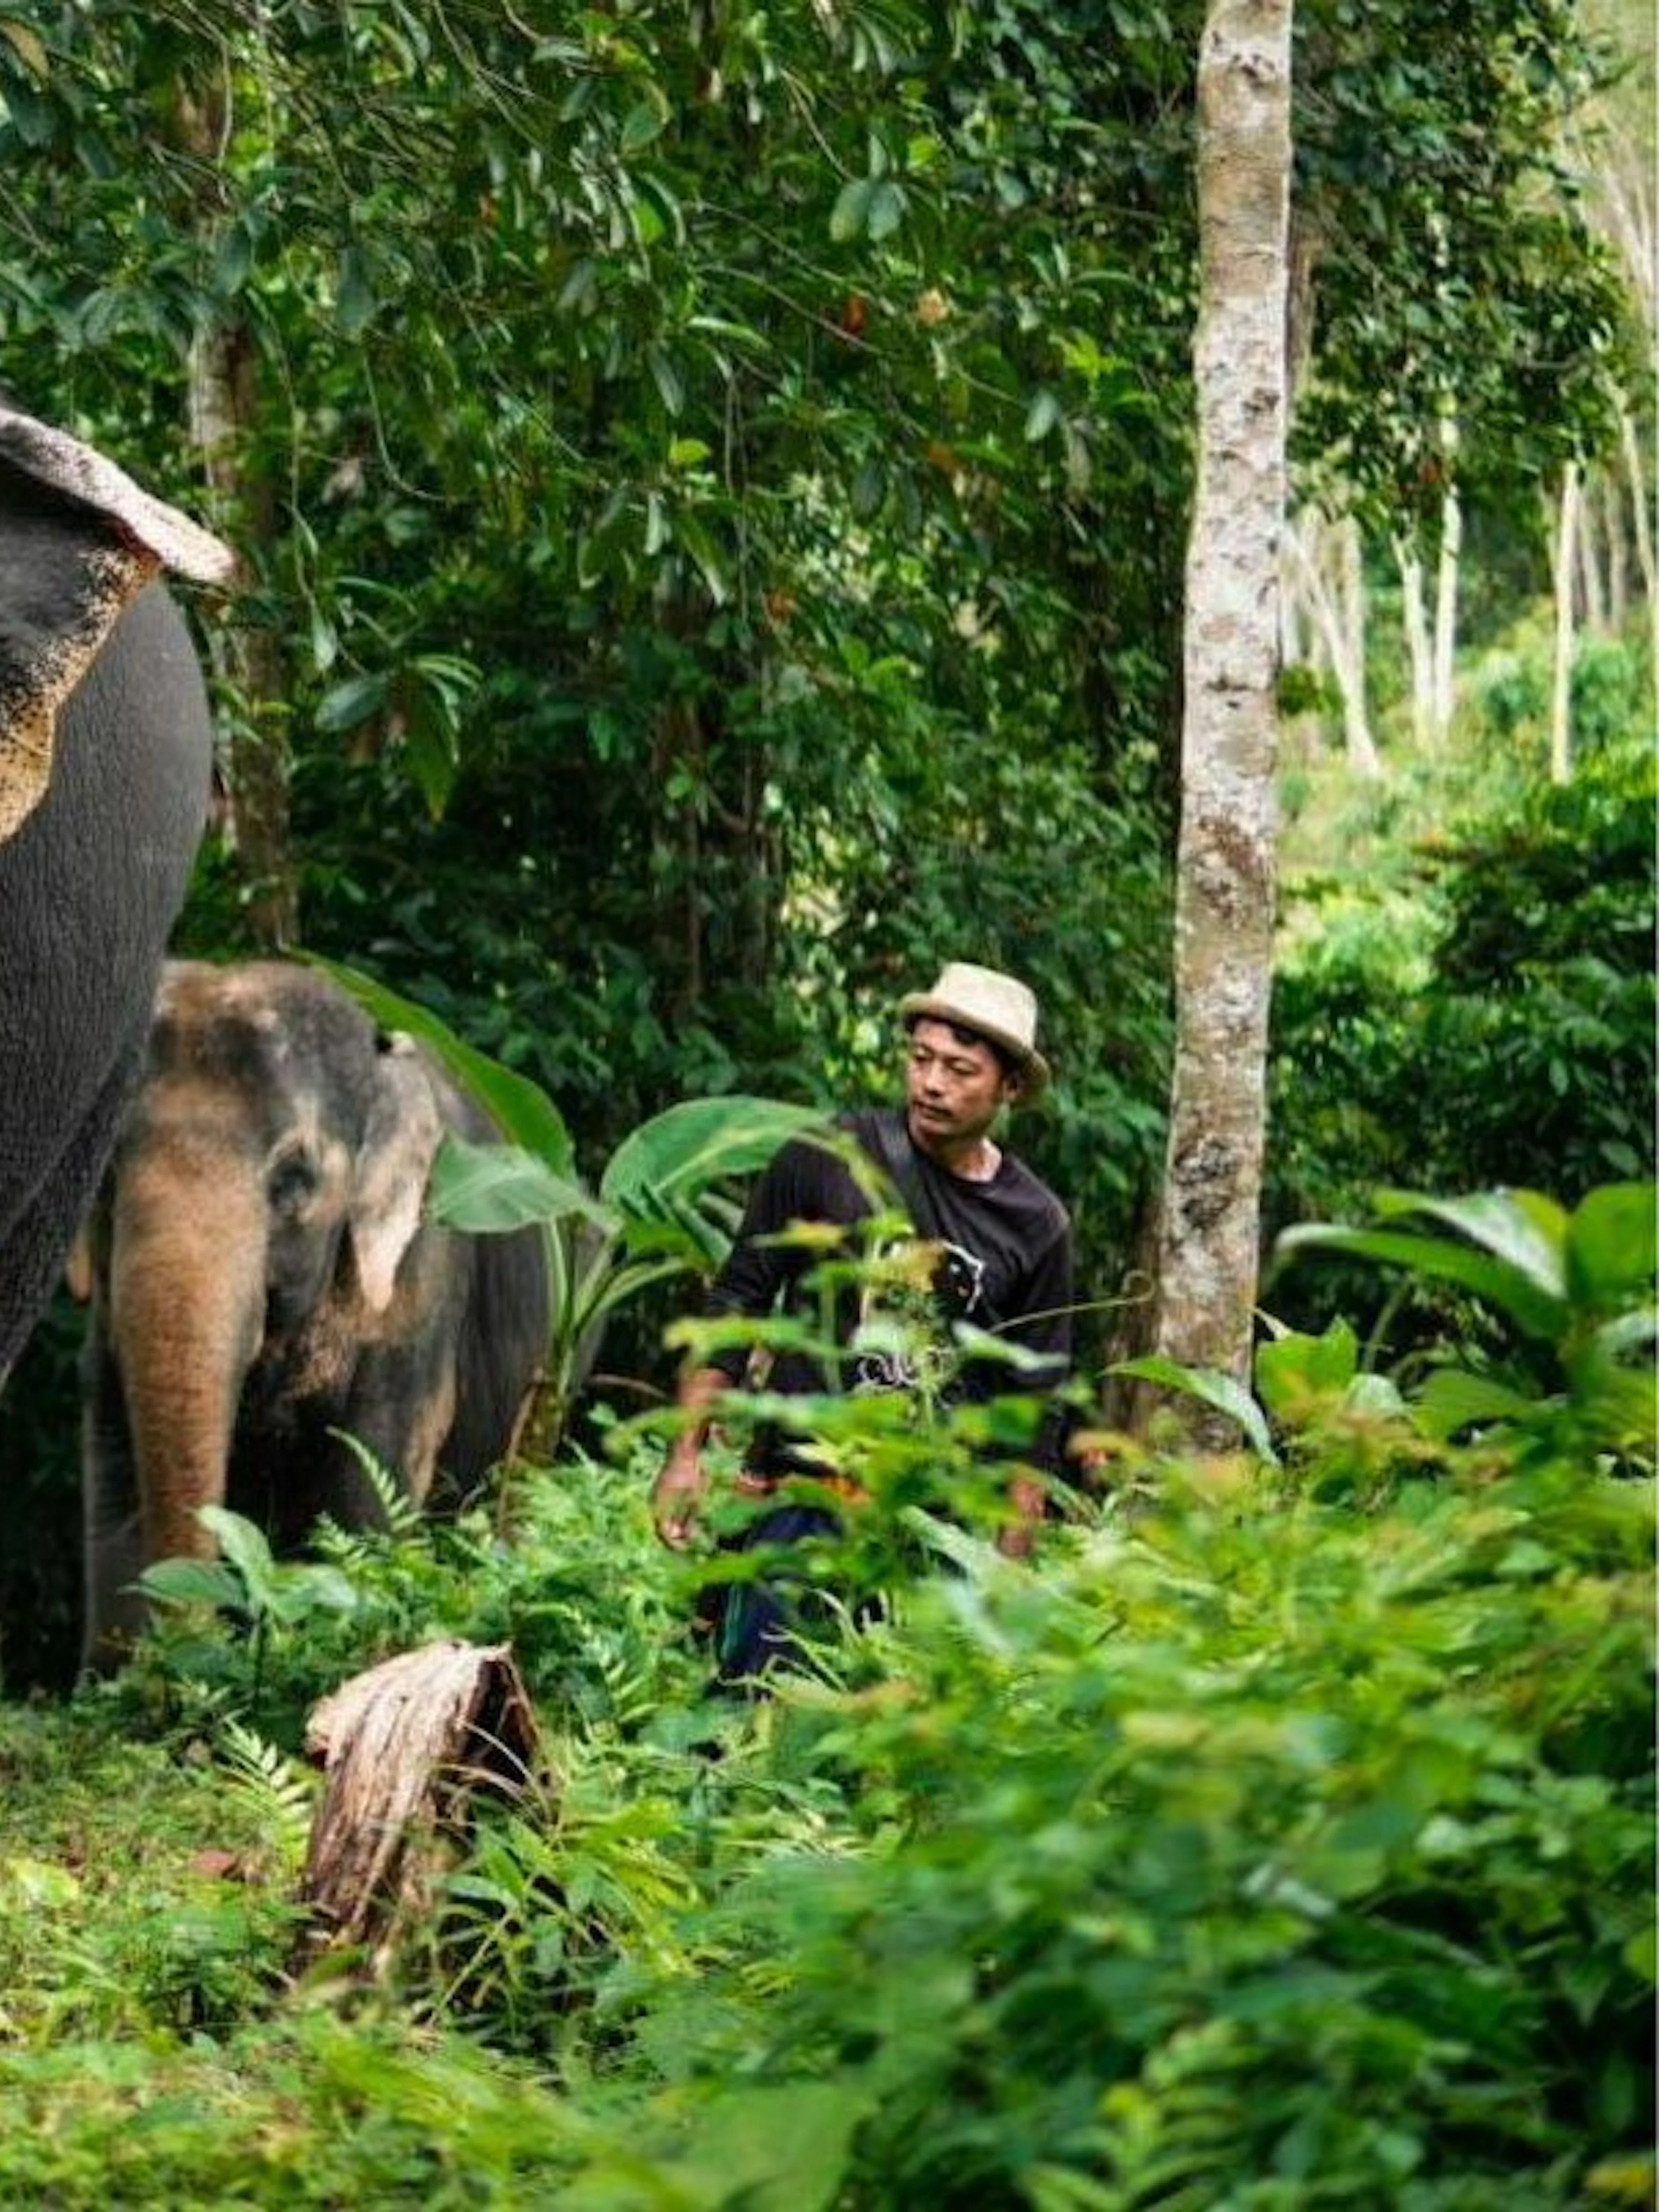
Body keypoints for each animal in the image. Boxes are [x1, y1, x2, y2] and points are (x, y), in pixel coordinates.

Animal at [76, 959, 552, 1672]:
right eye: (106, 1175)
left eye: (295, 1181)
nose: (201, 1644)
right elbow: (113, 1489)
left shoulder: (422, 1277)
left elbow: (369, 1487)